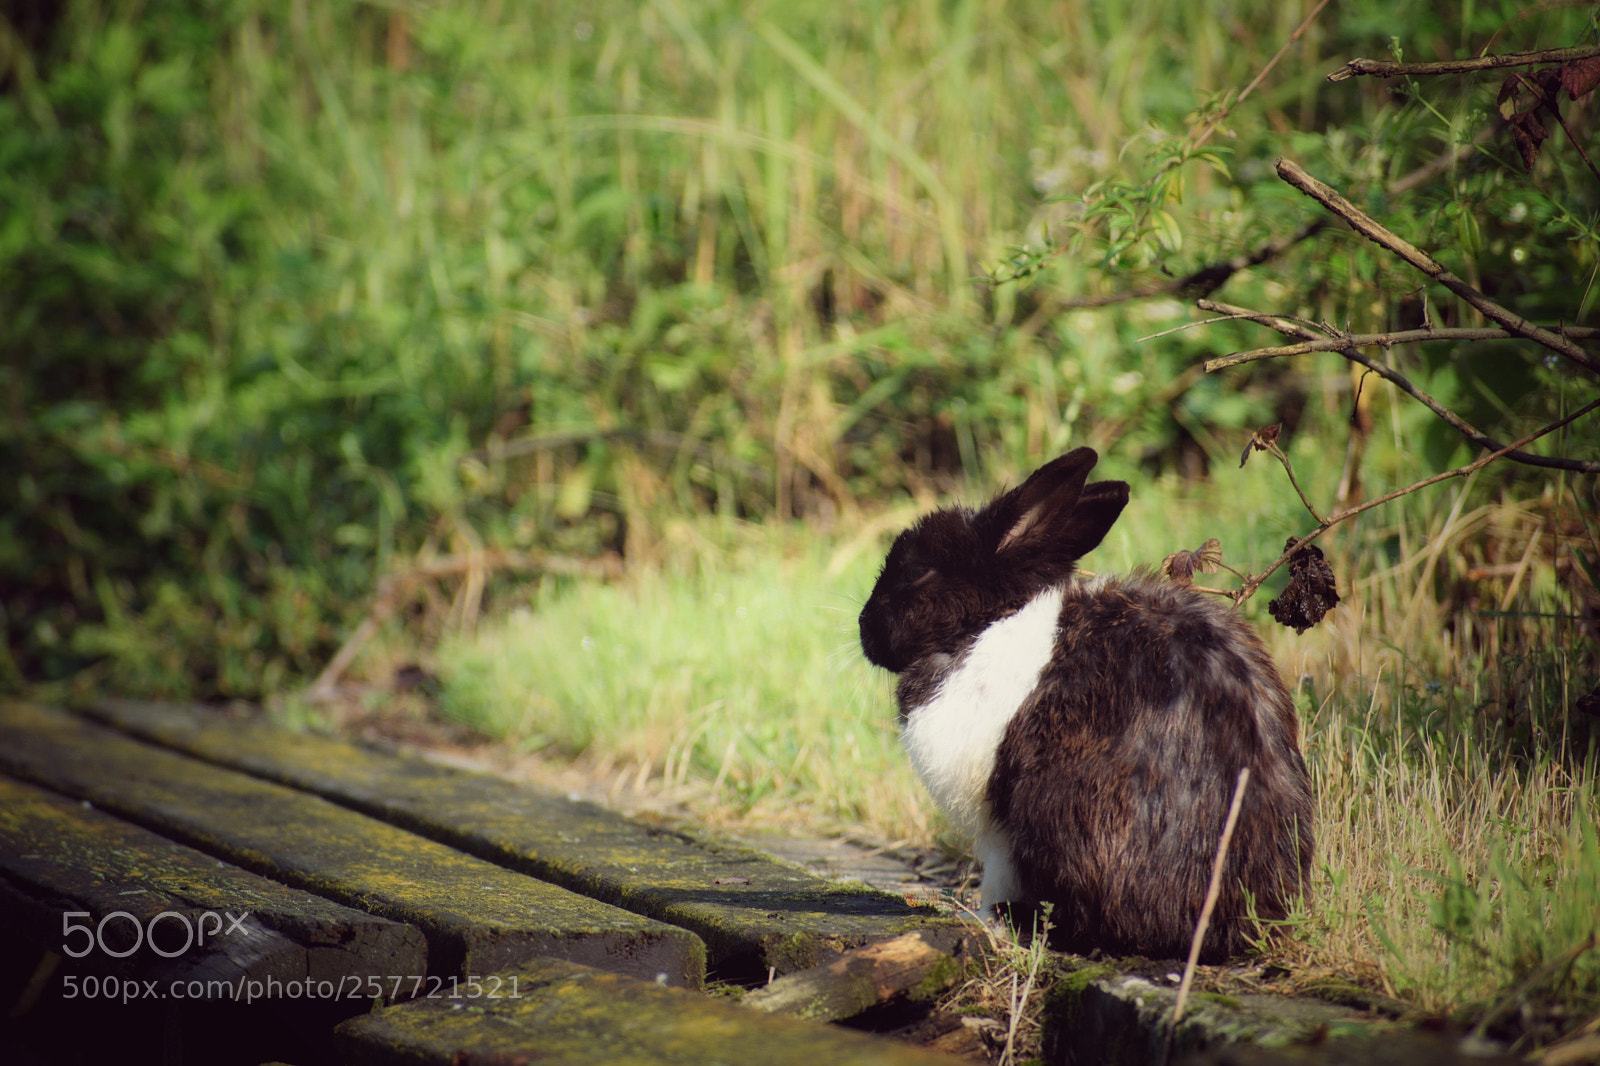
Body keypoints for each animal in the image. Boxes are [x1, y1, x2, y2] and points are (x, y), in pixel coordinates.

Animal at [859, 447, 1313, 960]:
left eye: (920, 572)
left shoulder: (998, 829)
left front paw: (985, 917)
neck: (987, 622)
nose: (864, 628)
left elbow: (997, 872)